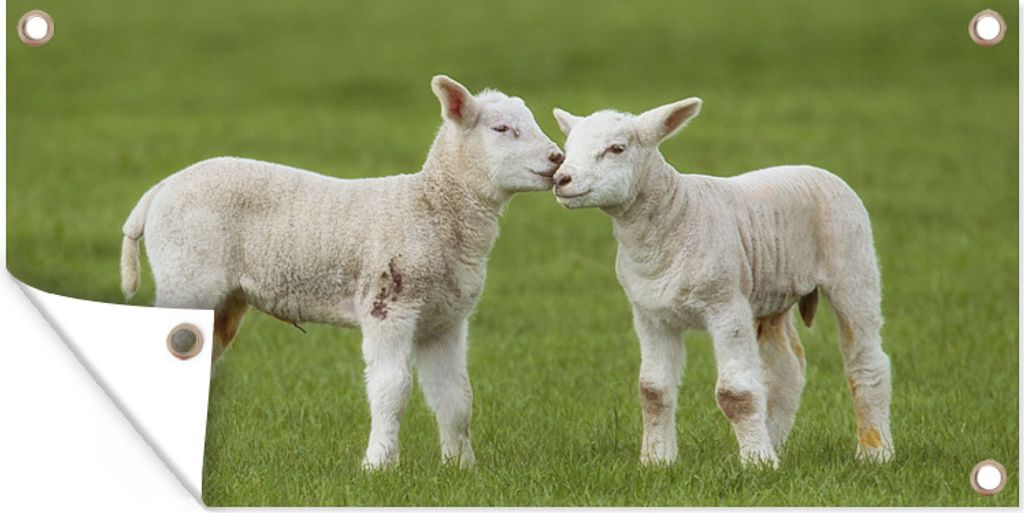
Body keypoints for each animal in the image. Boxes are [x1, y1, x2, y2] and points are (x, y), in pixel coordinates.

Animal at [119, 76, 565, 470]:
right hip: (186, 273)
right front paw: (379, 464)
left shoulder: (446, 320)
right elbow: (392, 388)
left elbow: (456, 395)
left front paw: (460, 467)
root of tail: (157, 192)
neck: (430, 207)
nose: (557, 158)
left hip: (221, 298)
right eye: (502, 129)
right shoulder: (388, 303)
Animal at [550, 99, 893, 468]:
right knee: (786, 370)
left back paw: (875, 451)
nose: (561, 179)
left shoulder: (726, 306)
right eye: (568, 148)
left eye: (617, 149)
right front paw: (657, 461)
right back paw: (775, 442)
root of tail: (814, 169)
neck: (674, 216)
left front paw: (756, 463)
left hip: (852, 262)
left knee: (866, 361)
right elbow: (653, 391)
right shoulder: (650, 315)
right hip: (772, 293)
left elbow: (736, 393)